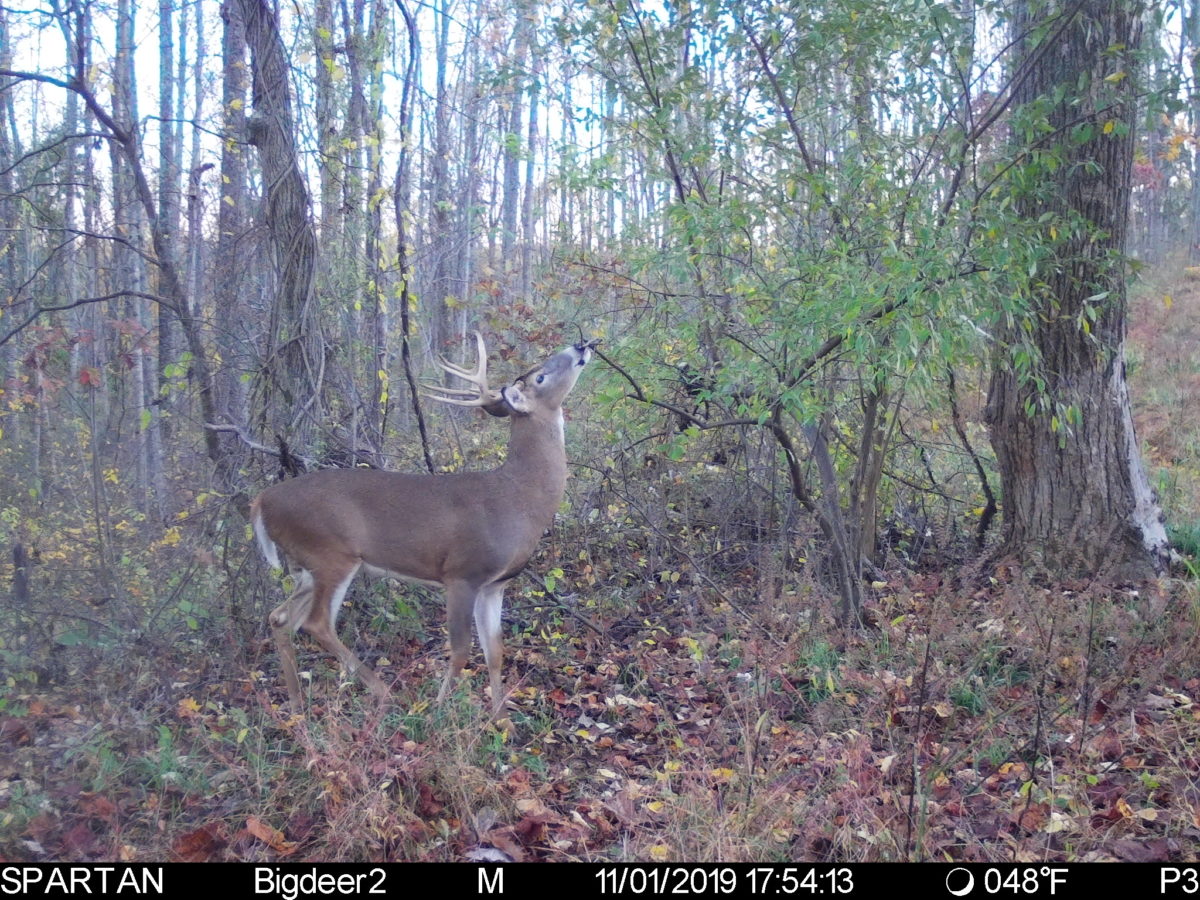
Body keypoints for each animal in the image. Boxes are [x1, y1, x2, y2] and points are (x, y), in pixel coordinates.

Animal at [250, 332, 598, 722]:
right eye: (540, 377)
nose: (582, 345)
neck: (519, 498)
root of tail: (261, 500)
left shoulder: (495, 584)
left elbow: (495, 651)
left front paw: (501, 720)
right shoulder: (462, 573)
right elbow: (461, 650)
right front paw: (438, 710)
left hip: (306, 566)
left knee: (280, 617)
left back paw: (297, 705)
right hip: (330, 554)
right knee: (316, 623)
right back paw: (382, 692)